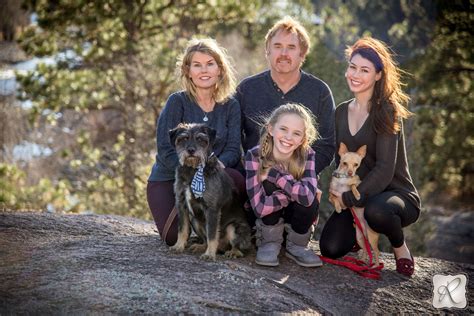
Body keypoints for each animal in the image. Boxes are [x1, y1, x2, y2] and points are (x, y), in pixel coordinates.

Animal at [169, 122, 252, 260]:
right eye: (184, 138)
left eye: (200, 139)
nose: (191, 150)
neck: (192, 170)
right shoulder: (181, 204)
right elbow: (182, 229)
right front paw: (178, 246)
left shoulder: (212, 209)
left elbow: (212, 234)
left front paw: (209, 254)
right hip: (195, 220)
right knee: (205, 239)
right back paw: (201, 246)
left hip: (234, 227)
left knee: (239, 246)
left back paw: (233, 252)